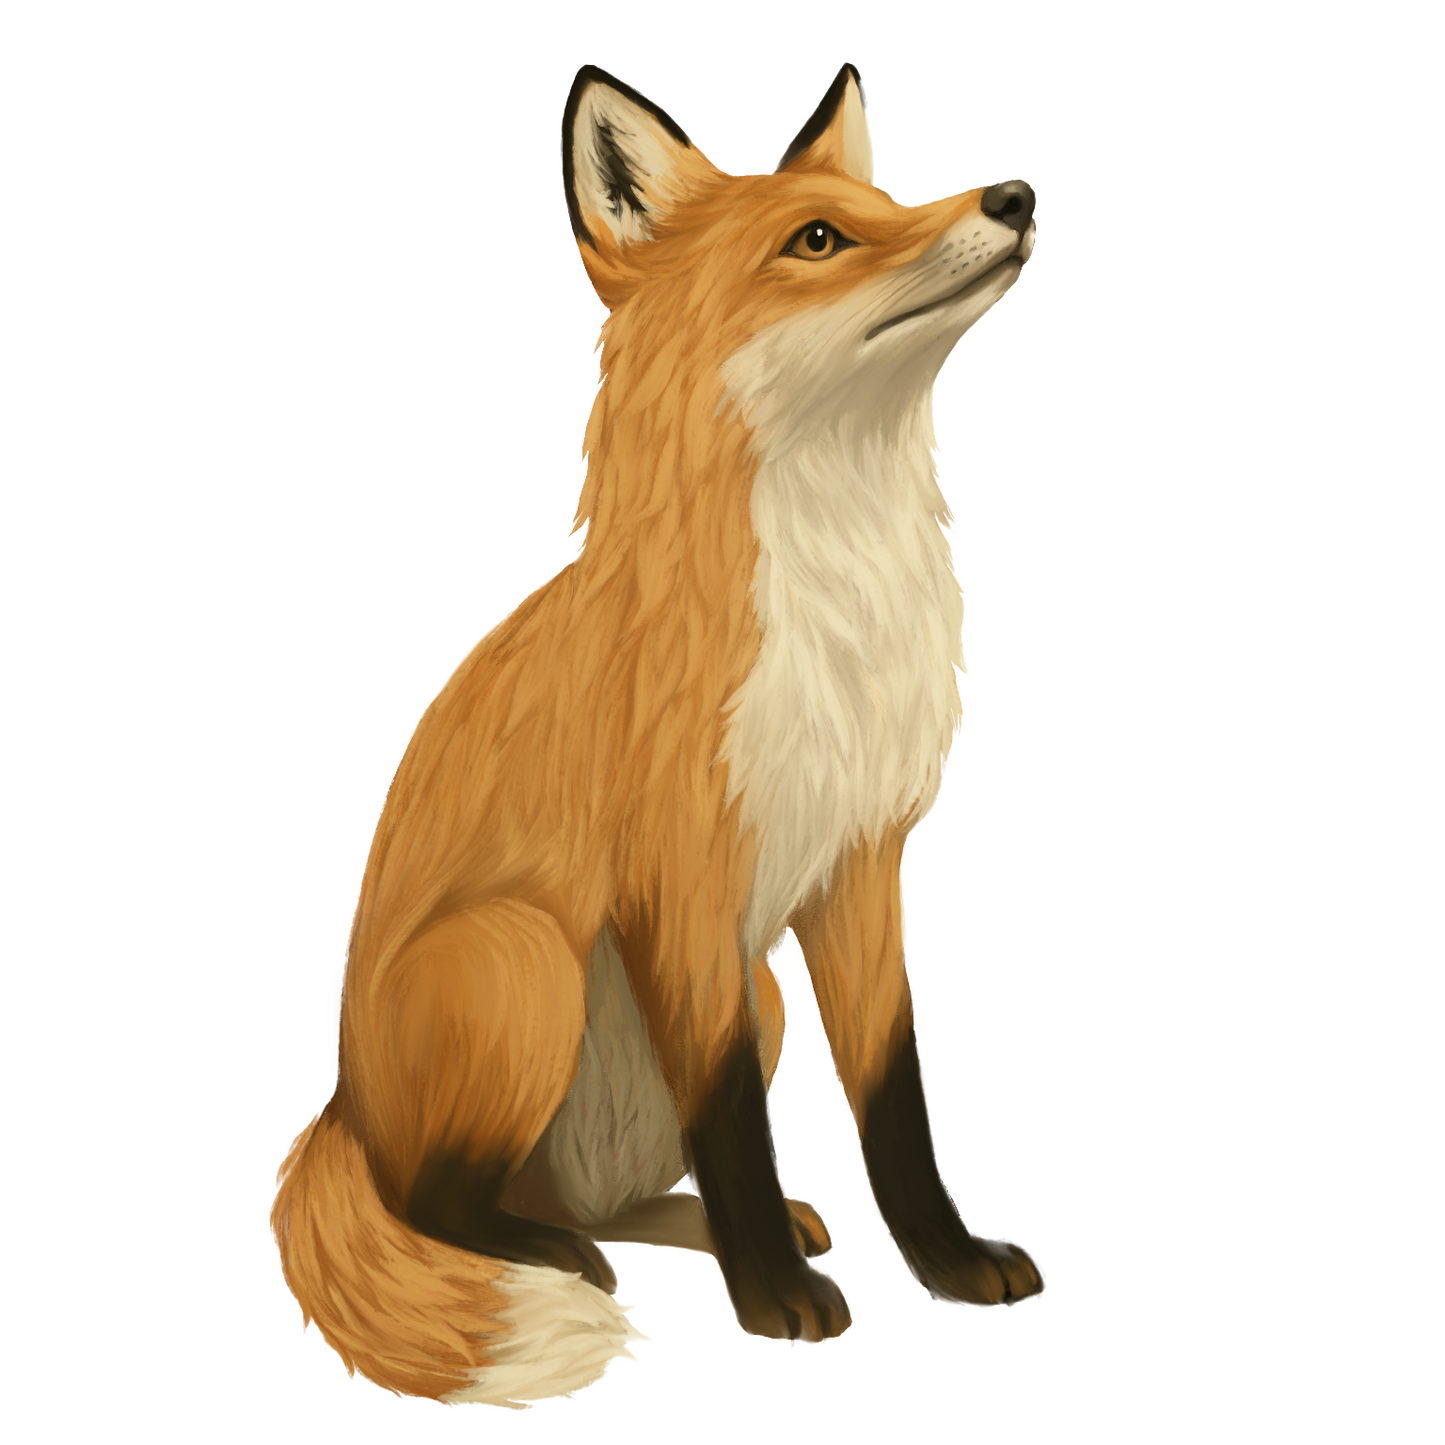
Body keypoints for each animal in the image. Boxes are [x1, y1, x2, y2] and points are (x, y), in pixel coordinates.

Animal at [264, 52, 1052, 1415]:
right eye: (817, 238)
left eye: (890, 197)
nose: (1012, 196)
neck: (832, 602)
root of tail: (339, 1107)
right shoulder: (681, 874)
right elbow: (731, 1112)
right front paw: (777, 1304)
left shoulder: (861, 862)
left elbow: (892, 1097)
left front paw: (946, 1263)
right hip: (522, 955)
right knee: (444, 1197)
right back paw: (554, 1254)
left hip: (749, 988)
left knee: (611, 1186)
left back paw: (695, 1226)